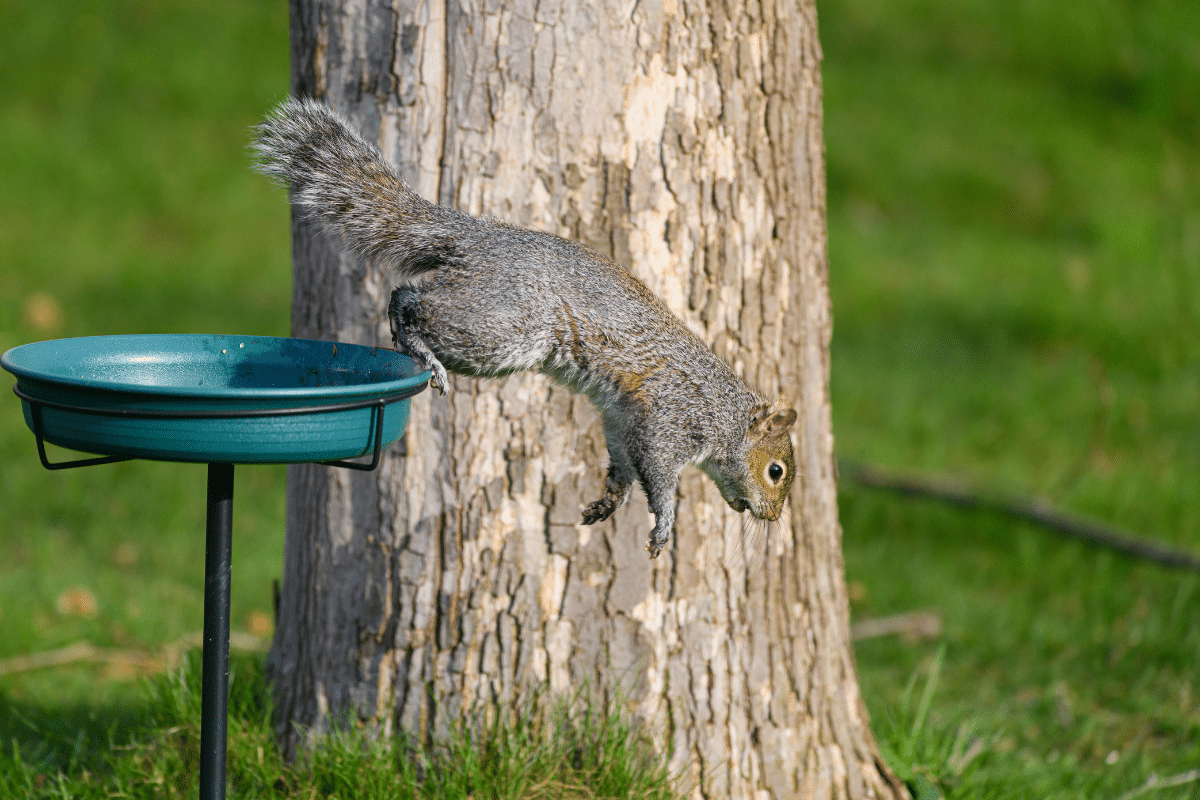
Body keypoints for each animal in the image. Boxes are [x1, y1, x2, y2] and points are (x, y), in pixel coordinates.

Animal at [254, 97, 797, 558]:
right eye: (776, 471)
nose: (771, 518)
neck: (724, 415)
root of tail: (478, 239)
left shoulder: (623, 419)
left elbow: (623, 464)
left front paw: (609, 501)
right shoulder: (672, 418)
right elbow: (660, 475)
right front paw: (664, 522)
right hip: (503, 327)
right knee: (410, 301)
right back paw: (418, 345)